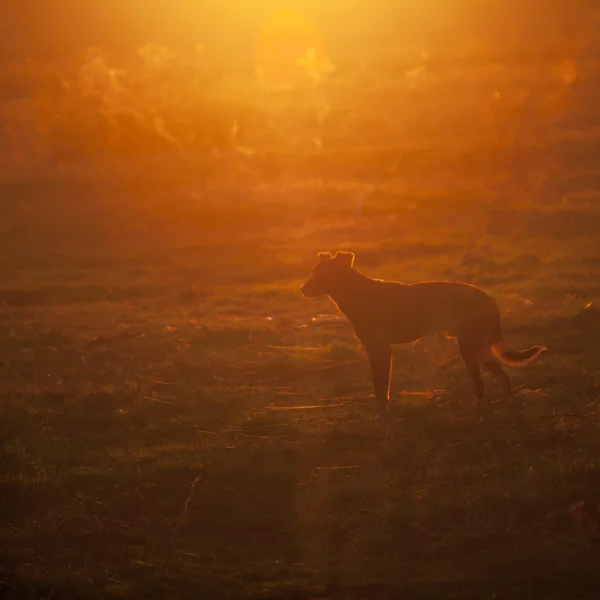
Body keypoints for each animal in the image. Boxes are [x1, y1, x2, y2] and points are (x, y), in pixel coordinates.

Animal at [302, 251, 548, 414]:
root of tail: (487, 298)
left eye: (321, 275)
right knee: (503, 378)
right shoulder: (378, 349)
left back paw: (479, 412)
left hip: (470, 349)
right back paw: (507, 407)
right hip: (480, 349)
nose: (302, 289)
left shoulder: (379, 349)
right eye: (313, 272)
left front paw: (383, 414)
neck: (356, 293)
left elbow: (381, 386)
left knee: (483, 385)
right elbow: (380, 386)